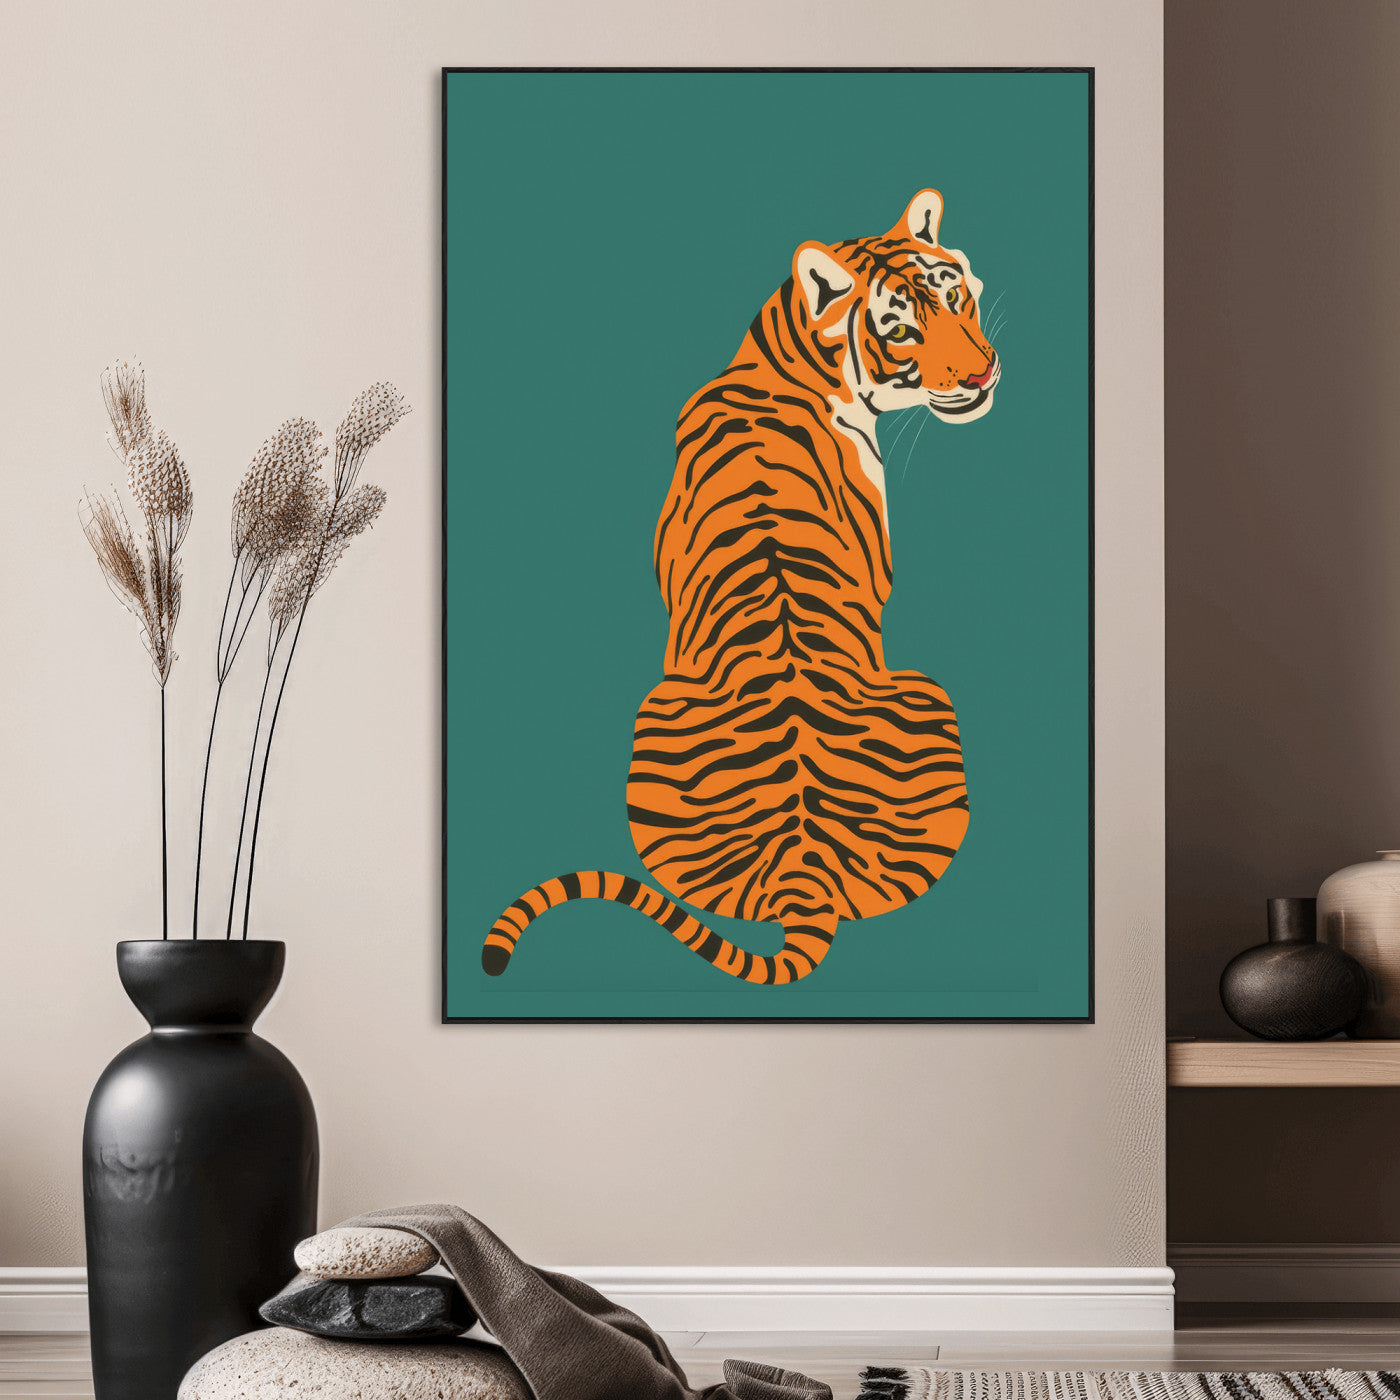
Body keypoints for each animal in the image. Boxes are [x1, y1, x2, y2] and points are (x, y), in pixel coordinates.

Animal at [483, 189, 999, 985]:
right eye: (902, 329)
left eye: (957, 300)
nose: (982, 377)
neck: (780, 361)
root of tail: (803, 871)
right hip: (924, 686)